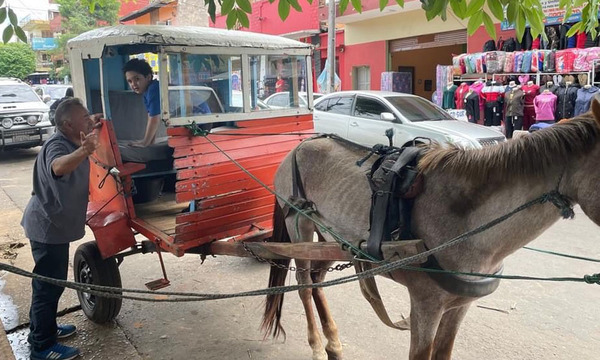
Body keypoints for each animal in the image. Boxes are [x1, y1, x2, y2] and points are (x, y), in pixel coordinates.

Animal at [260, 98, 600, 360]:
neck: (465, 218)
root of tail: (299, 147)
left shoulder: (458, 306)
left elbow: (444, 352)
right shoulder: (426, 306)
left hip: (329, 237)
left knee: (318, 280)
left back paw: (333, 342)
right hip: (300, 226)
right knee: (304, 284)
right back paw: (318, 346)